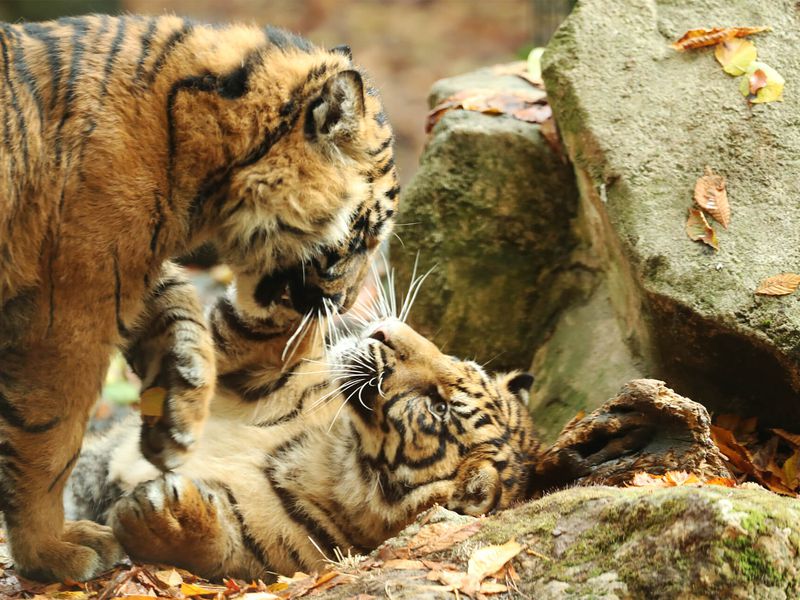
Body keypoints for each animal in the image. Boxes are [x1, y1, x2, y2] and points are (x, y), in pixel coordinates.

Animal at [0, 14, 398, 581]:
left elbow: (178, 301)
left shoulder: (127, 267)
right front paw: (53, 551)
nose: (346, 306)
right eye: (364, 237)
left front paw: (178, 408)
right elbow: (50, 441)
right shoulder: (68, 309)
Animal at [65, 275, 538, 581]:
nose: (384, 332)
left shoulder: (272, 552)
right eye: (457, 359)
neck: (338, 452)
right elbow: (263, 338)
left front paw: (170, 519)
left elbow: (220, 546)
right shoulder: (276, 372)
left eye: (438, 408)